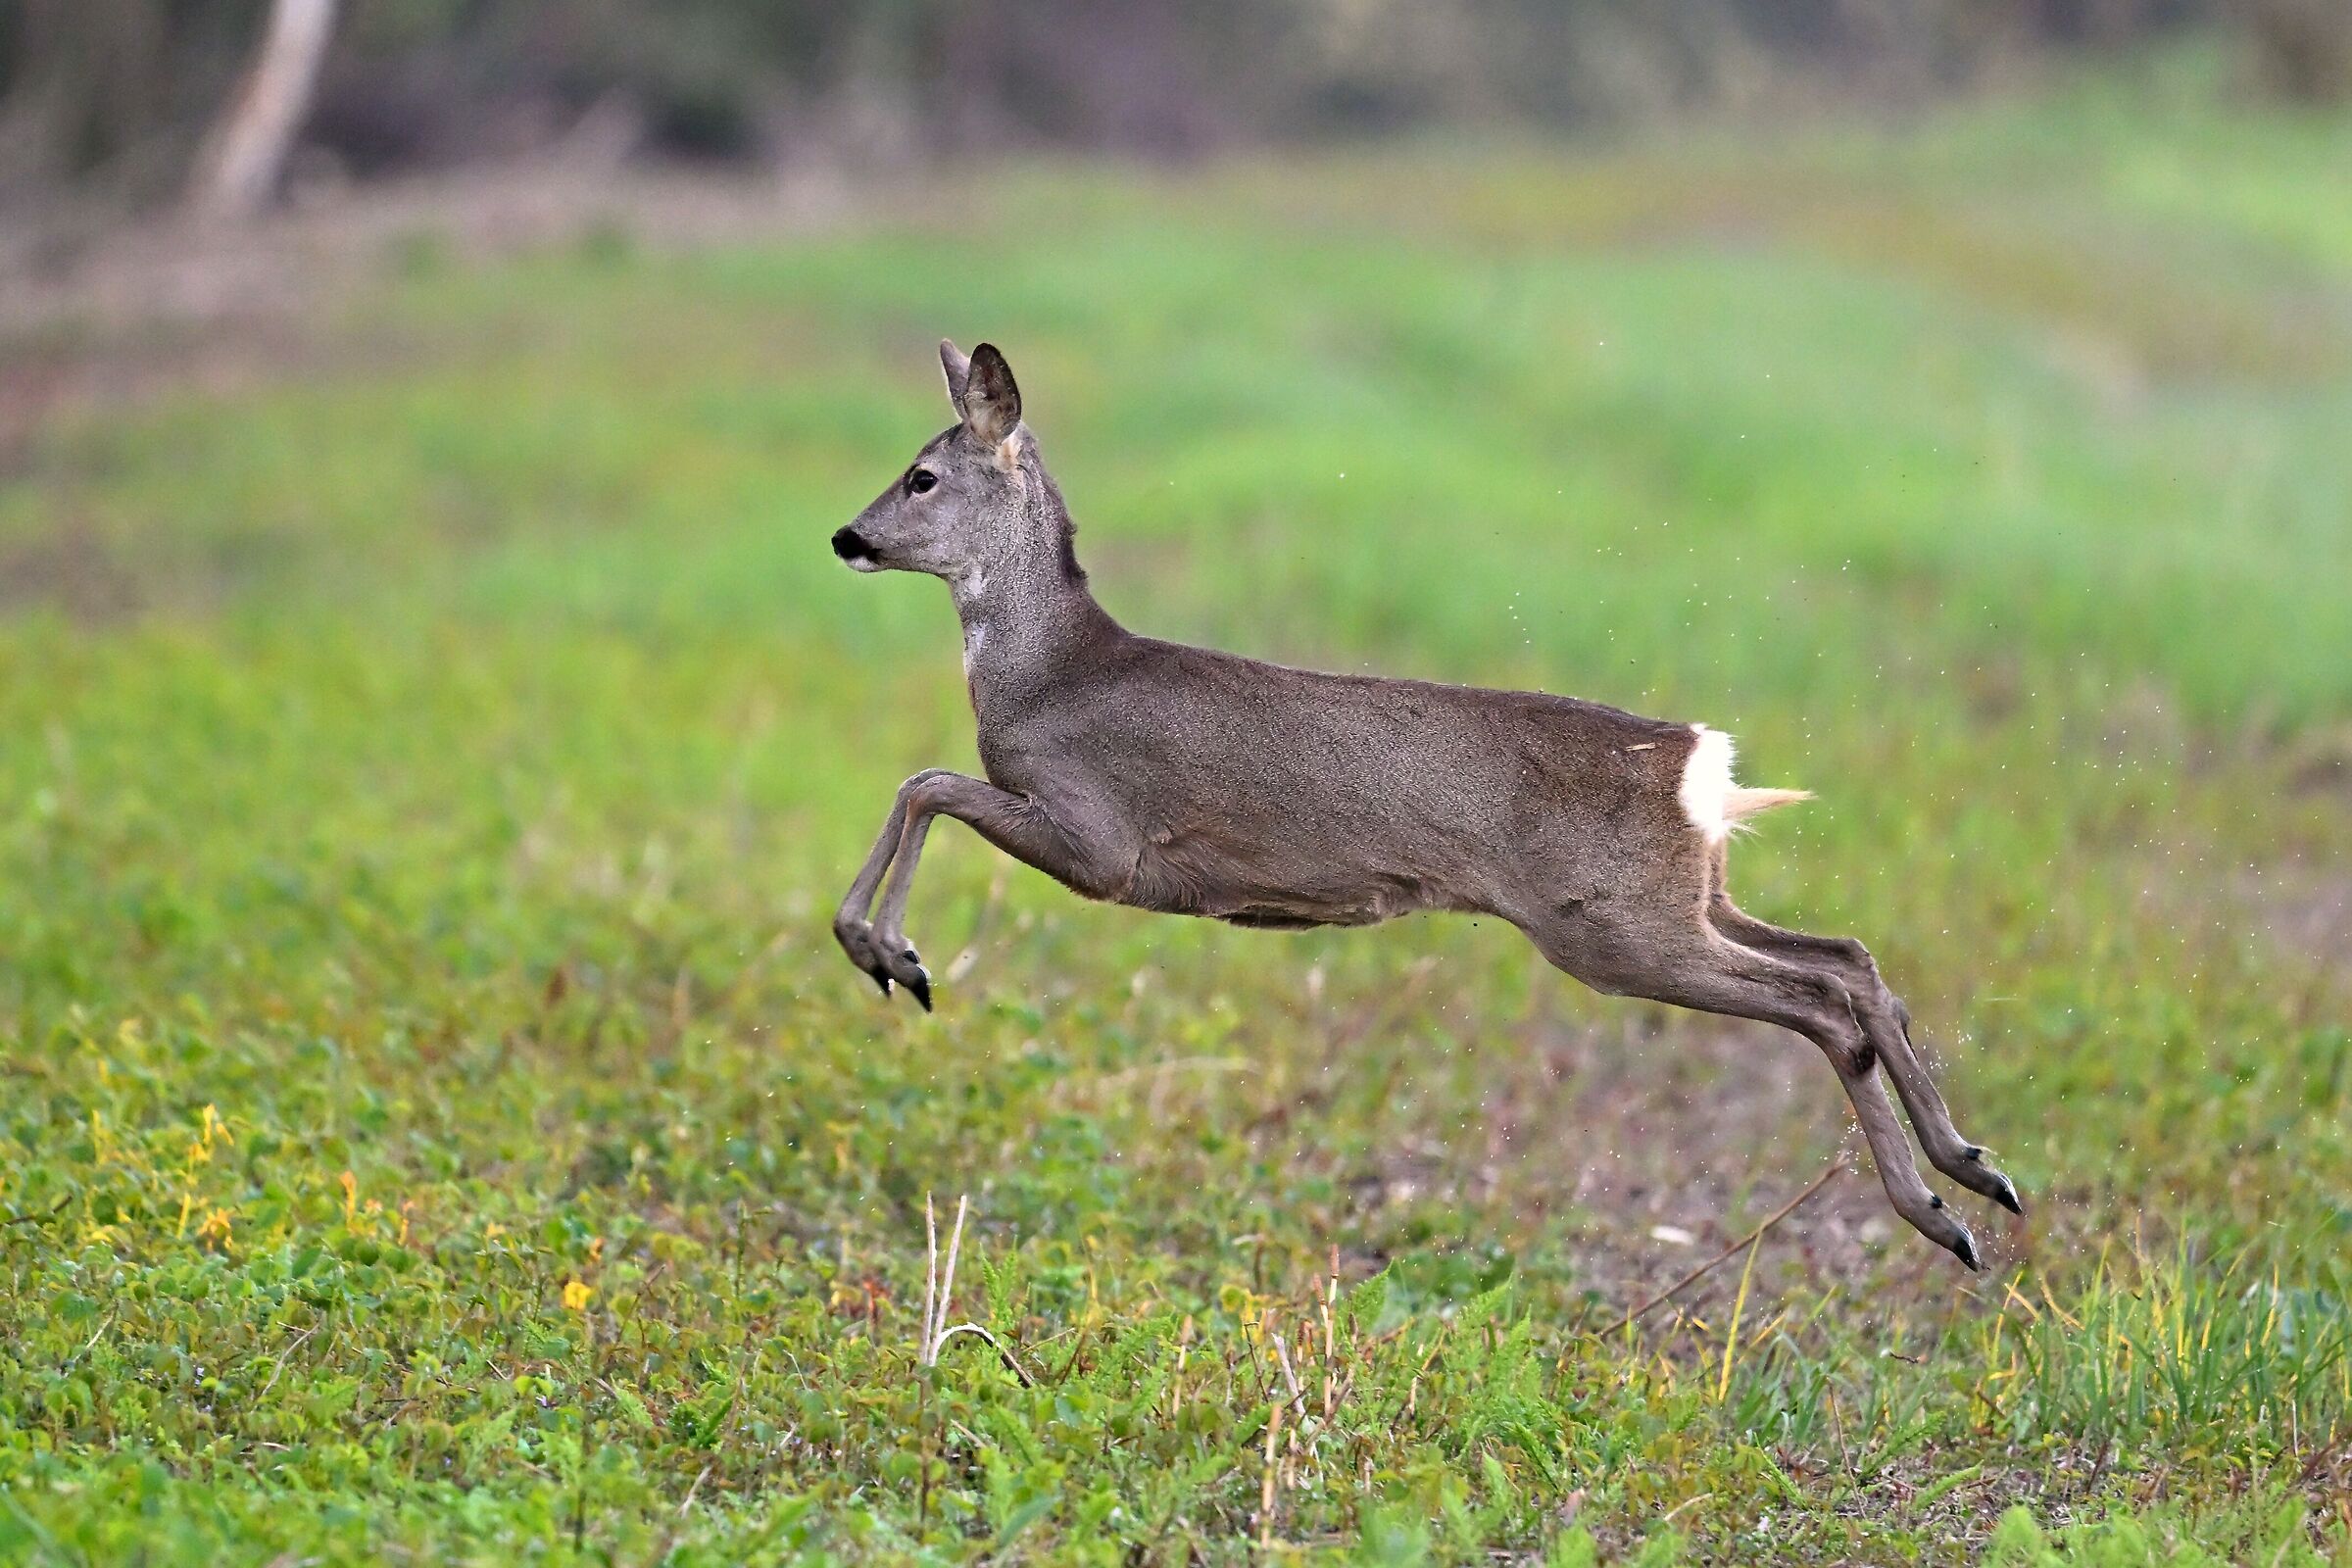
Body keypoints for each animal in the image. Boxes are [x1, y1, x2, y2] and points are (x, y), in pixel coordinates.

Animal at [828, 340, 2022, 1269]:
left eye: (921, 476)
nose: (847, 538)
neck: (1044, 674)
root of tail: (1697, 759)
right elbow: (923, 784)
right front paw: (887, 953)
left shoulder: (1102, 838)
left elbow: (924, 783)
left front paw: (892, 955)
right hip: (1692, 897)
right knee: (1852, 961)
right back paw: (1977, 1178)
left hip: (1614, 926)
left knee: (1820, 999)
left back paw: (1941, 1210)